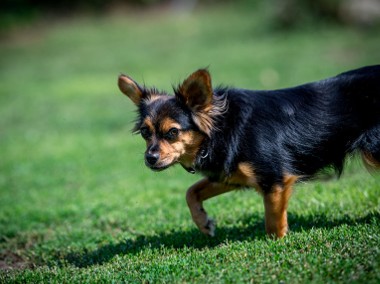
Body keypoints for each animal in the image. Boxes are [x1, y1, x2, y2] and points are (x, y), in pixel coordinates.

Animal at [119, 66, 380, 237]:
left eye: (172, 132)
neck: (222, 129)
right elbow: (191, 192)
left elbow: (273, 220)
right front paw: (203, 222)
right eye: (145, 133)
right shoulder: (231, 175)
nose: (150, 158)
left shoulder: (274, 180)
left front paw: (278, 243)